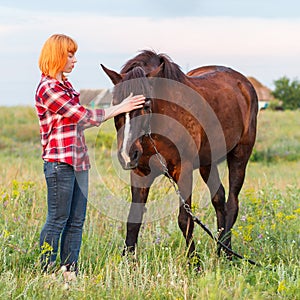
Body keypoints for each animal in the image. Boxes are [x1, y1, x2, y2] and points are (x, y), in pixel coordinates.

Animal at [101, 50, 258, 258]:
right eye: (116, 105)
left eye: (146, 105)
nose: (127, 154)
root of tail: (244, 83)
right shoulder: (140, 173)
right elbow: (133, 219)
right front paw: (128, 260)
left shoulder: (184, 171)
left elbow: (185, 220)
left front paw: (193, 260)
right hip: (207, 162)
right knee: (219, 198)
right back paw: (220, 249)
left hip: (240, 155)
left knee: (232, 202)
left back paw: (227, 253)